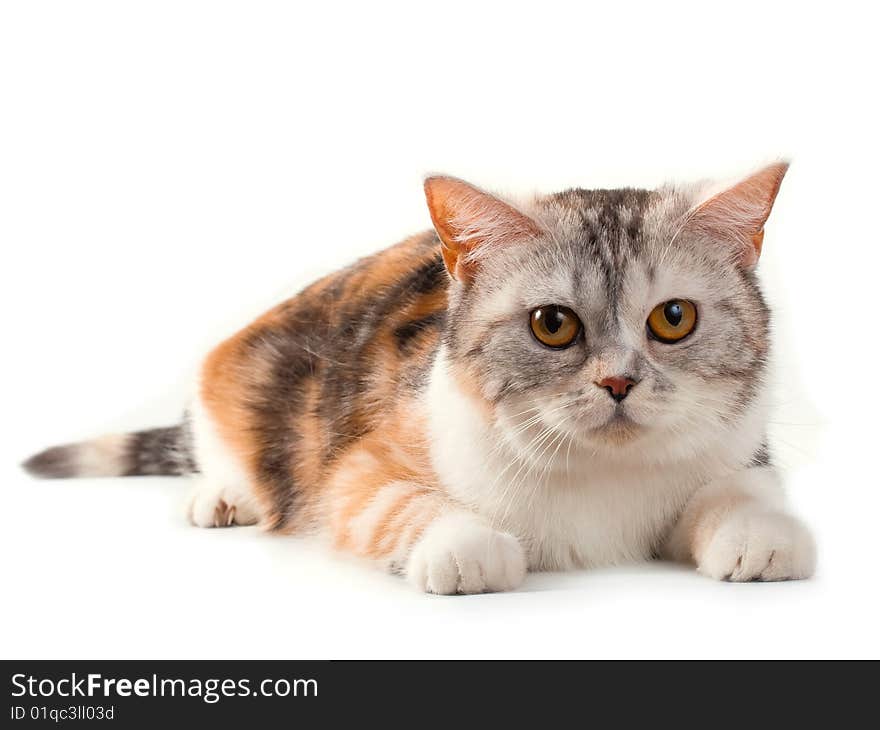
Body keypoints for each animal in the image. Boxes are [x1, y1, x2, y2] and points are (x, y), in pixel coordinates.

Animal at [22, 164, 820, 592]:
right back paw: (224, 495)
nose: (619, 383)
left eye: (674, 319)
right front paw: (469, 547)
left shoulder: (742, 450)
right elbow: (398, 503)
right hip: (237, 373)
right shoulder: (358, 465)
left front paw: (759, 535)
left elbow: (740, 491)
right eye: (553, 325)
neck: (602, 476)